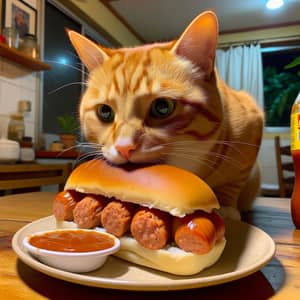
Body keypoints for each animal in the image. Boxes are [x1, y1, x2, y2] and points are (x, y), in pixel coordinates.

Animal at [67, 11, 262, 218]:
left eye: (162, 107)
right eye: (104, 111)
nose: (124, 147)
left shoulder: (252, 130)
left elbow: (233, 182)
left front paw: (226, 209)